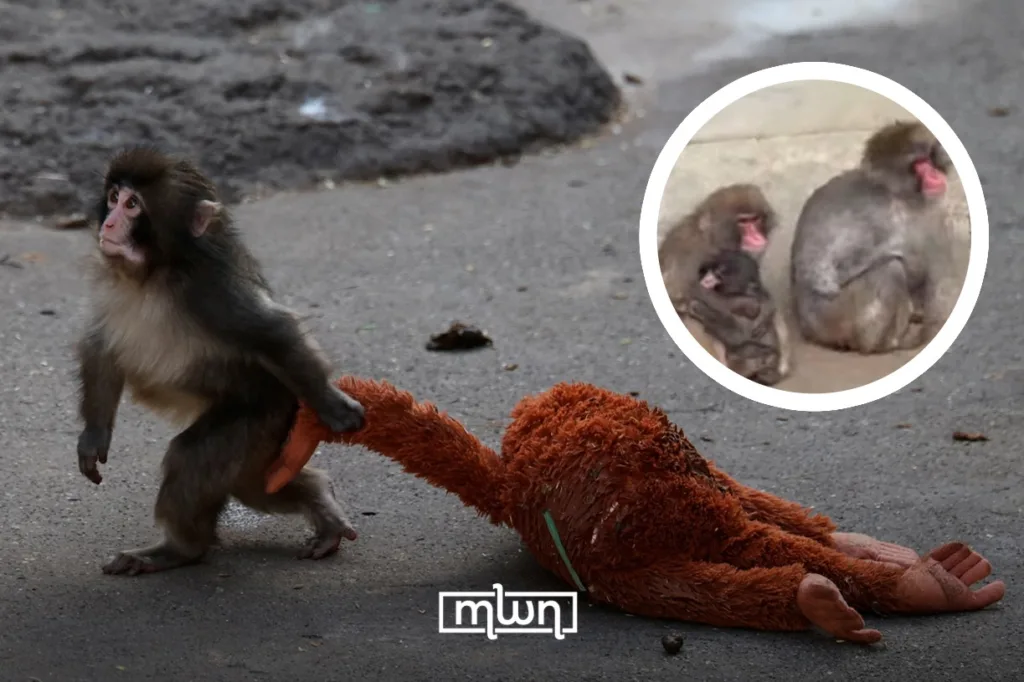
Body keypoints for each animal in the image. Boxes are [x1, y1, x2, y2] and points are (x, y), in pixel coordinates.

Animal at [75, 146, 367, 576]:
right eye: (113, 197)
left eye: (132, 205)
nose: (109, 223)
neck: (154, 273)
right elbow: (101, 347)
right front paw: (94, 436)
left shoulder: (211, 291)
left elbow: (274, 331)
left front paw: (334, 405)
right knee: (256, 485)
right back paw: (320, 499)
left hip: (262, 414)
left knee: (194, 458)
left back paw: (180, 549)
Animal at [687, 250, 789, 385]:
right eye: (713, 271)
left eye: (719, 274)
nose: (708, 279)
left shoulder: (740, 301)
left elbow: (738, 335)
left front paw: (697, 304)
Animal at [789, 120, 957, 354]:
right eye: (918, 165)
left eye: (928, 160)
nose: (934, 175)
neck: (901, 196)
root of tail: (808, 328)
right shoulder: (876, 214)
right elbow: (820, 272)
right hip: (835, 317)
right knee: (890, 269)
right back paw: (883, 343)